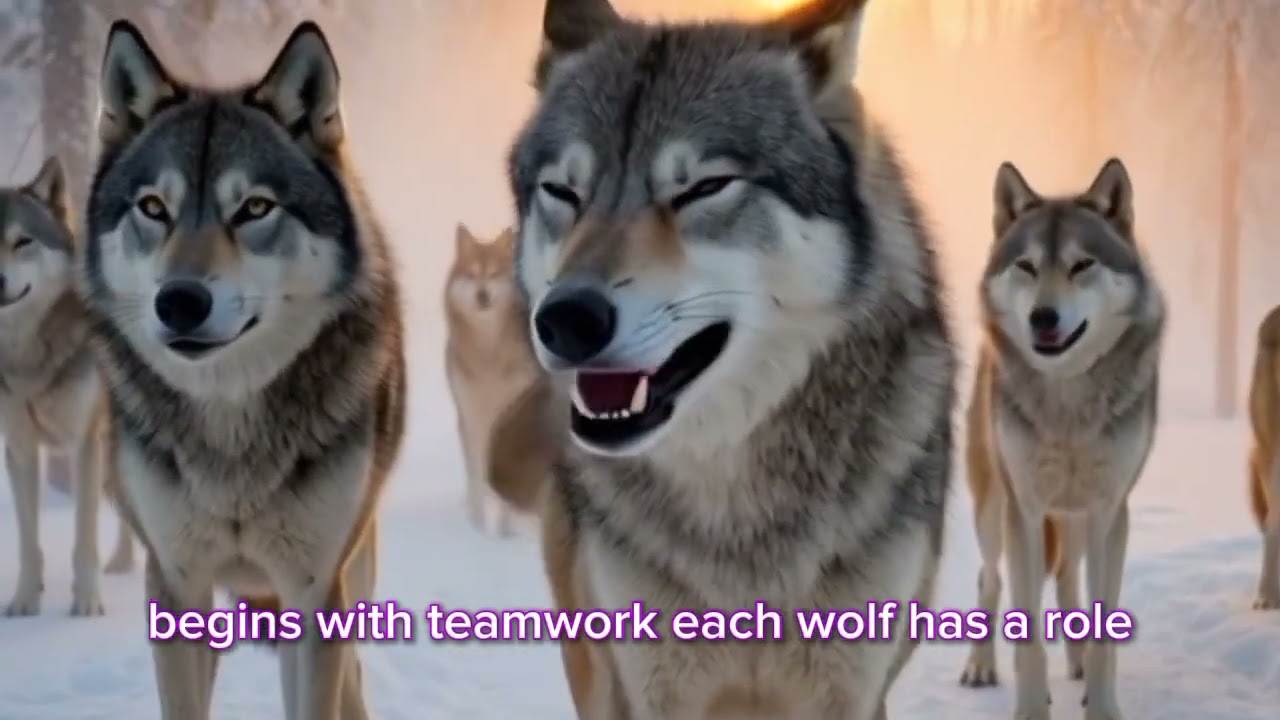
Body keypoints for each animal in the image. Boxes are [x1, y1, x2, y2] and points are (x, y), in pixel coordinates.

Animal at [1, 157, 135, 618]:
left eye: (23, 242)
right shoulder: (20, 450)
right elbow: (28, 543)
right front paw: (24, 601)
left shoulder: (84, 445)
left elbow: (83, 538)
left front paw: (87, 603)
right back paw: (122, 565)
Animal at [81, 19, 405, 719]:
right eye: (154, 207)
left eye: (254, 208)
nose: (178, 301)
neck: (230, 431)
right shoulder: (176, 586)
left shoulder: (315, 593)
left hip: (353, 573)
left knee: (353, 680)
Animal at [444, 223, 539, 537]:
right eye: (473, 274)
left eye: (495, 274)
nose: (482, 295)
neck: (487, 354)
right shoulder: (471, 419)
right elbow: (476, 479)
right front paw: (476, 531)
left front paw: (504, 532)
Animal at [962, 158, 1164, 720]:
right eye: (1027, 267)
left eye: (1082, 266)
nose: (1043, 317)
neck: (1069, 404)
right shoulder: (1025, 511)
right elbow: (1027, 633)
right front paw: (1033, 709)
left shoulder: (1109, 510)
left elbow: (1102, 632)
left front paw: (1102, 705)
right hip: (992, 511)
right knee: (989, 578)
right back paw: (980, 667)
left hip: (1074, 519)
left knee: (1068, 580)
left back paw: (1076, 668)